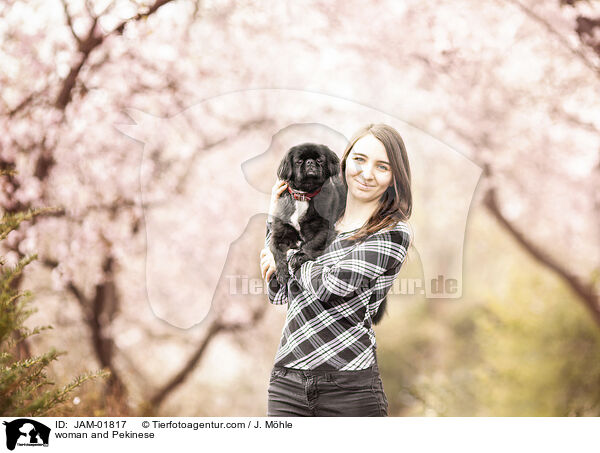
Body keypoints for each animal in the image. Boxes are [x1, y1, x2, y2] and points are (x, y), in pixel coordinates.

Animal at [270, 143, 344, 286]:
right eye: (299, 161)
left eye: (320, 160)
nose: (310, 162)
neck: (303, 195)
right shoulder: (279, 233)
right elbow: (275, 250)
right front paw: (281, 273)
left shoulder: (324, 229)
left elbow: (311, 244)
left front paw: (298, 257)